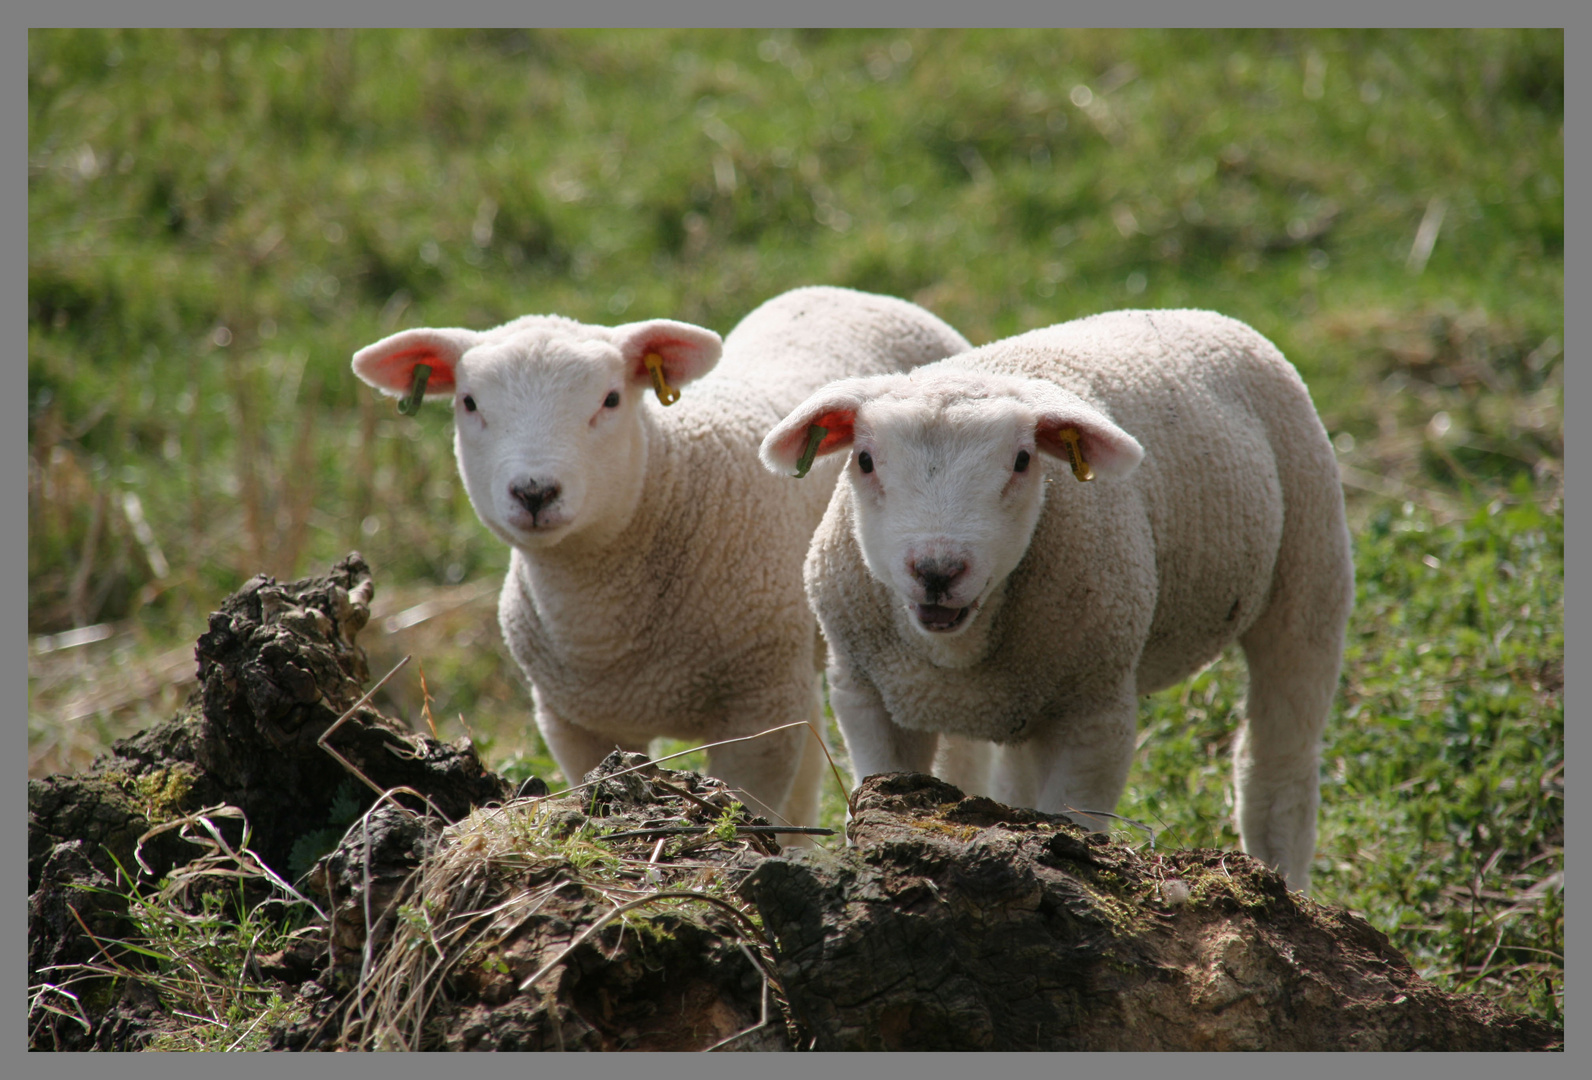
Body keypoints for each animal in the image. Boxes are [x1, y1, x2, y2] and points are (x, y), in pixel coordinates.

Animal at [351, 288, 967, 834]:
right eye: (469, 403)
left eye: (610, 400)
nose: (534, 492)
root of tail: (854, 294)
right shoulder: (576, 722)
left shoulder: (757, 715)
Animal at [764, 309, 1350, 892]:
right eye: (864, 460)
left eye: (1023, 460)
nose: (937, 570)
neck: (956, 653)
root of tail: (1202, 313)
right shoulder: (866, 694)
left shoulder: (1094, 711)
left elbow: (1074, 819)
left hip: (1309, 568)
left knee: (1278, 769)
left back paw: (1285, 876)